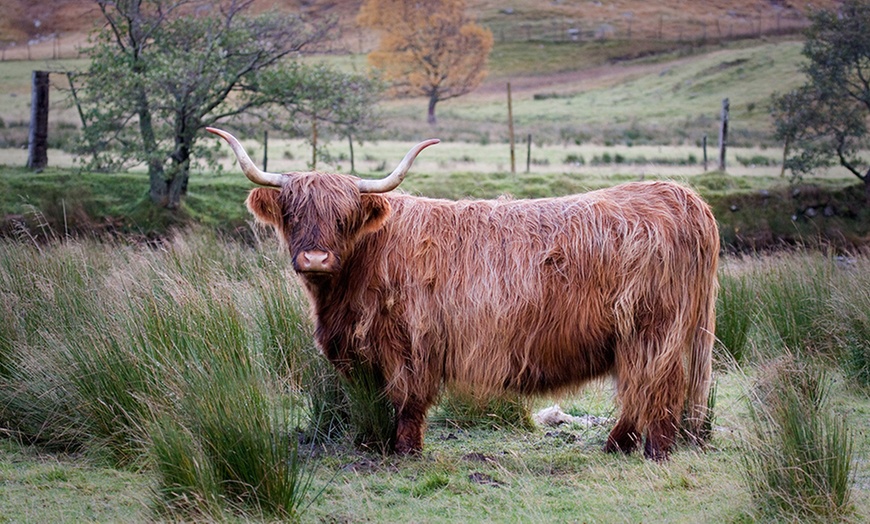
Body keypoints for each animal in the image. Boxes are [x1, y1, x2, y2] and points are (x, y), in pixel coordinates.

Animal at [208, 128, 720, 462]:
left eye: (344, 217)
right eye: (293, 212)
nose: (315, 258)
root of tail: (681, 195)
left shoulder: (411, 342)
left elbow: (407, 399)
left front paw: (405, 451)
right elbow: (371, 403)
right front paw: (373, 444)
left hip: (655, 329)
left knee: (657, 386)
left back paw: (651, 451)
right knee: (640, 389)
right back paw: (619, 445)